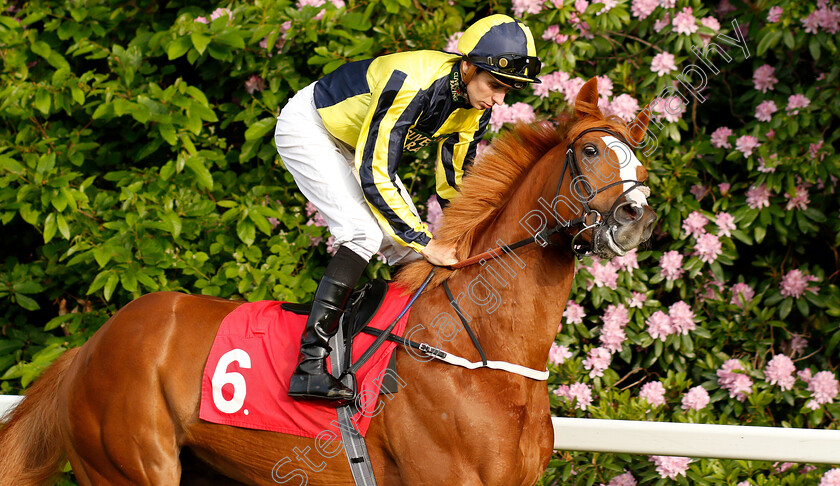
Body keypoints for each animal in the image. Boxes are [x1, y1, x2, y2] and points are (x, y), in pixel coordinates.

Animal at [0, 78, 656, 484]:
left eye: (642, 165)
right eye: (591, 151)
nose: (636, 216)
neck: (483, 352)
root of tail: (89, 347)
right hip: (129, 466)